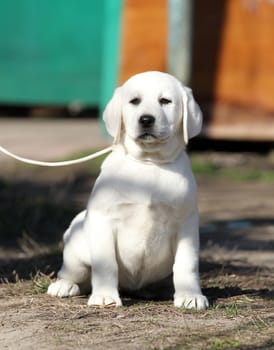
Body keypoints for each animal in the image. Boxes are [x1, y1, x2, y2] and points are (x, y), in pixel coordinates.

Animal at [48, 71, 209, 308]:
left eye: (165, 101)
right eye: (135, 101)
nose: (146, 119)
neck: (149, 162)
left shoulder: (185, 223)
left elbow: (186, 264)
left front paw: (190, 296)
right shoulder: (104, 220)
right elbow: (106, 265)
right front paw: (104, 296)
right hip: (76, 248)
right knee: (74, 273)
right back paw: (64, 286)